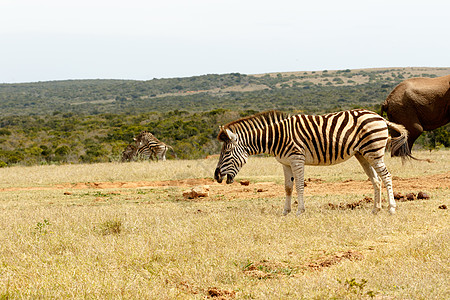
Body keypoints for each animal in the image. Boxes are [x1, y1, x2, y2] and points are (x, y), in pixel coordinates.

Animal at [214, 109, 412, 214]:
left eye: (226, 152)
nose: (216, 176)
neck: (276, 137)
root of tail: (380, 117)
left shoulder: (296, 159)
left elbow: (300, 185)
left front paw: (300, 211)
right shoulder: (285, 163)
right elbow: (287, 187)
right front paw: (285, 212)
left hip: (374, 151)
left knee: (386, 177)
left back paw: (391, 208)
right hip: (363, 154)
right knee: (376, 180)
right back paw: (375, 209)